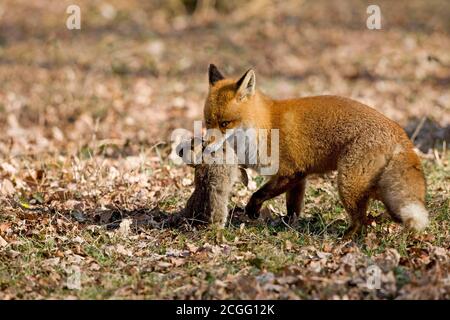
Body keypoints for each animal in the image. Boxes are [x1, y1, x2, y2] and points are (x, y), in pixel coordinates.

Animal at [204, 64, 428, 238]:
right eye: (207, 122)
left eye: (225, 123)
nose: (205, 145)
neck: (265, 127)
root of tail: (398, 130)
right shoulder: (299, 177)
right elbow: (293, 209)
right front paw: (288, 226)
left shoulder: (289, 172)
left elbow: (259, 193)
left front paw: (253, 210)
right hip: (375, 188)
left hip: (348, 183)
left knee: (360, 220)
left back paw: (346, 239)